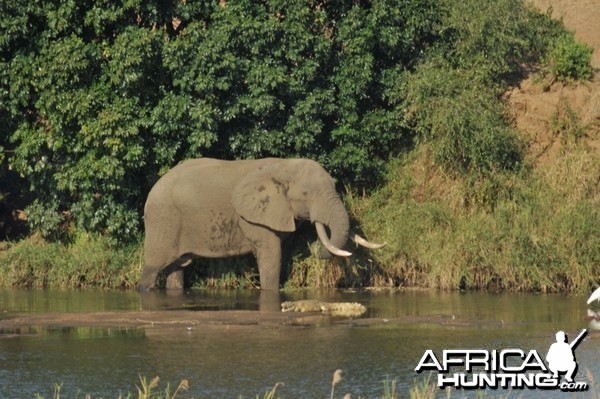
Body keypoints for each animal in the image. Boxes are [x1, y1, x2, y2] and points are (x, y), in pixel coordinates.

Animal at [138, 158, 384, 292]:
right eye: (306, 194)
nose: (313, 245)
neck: (285, 165)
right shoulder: (256, 218)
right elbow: (271, 254)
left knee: (177, 268)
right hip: (163, 219)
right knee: (153, 267)